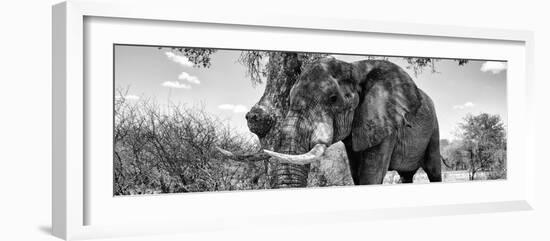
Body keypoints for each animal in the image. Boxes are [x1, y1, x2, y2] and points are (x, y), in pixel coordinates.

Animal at [264, 56, 444, 186]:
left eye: (333, 98)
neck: (354, 68)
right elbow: (357, 175)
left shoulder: (384, 122)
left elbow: (370, 176)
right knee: (406, 176)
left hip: (434, 128)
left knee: (433, 170)